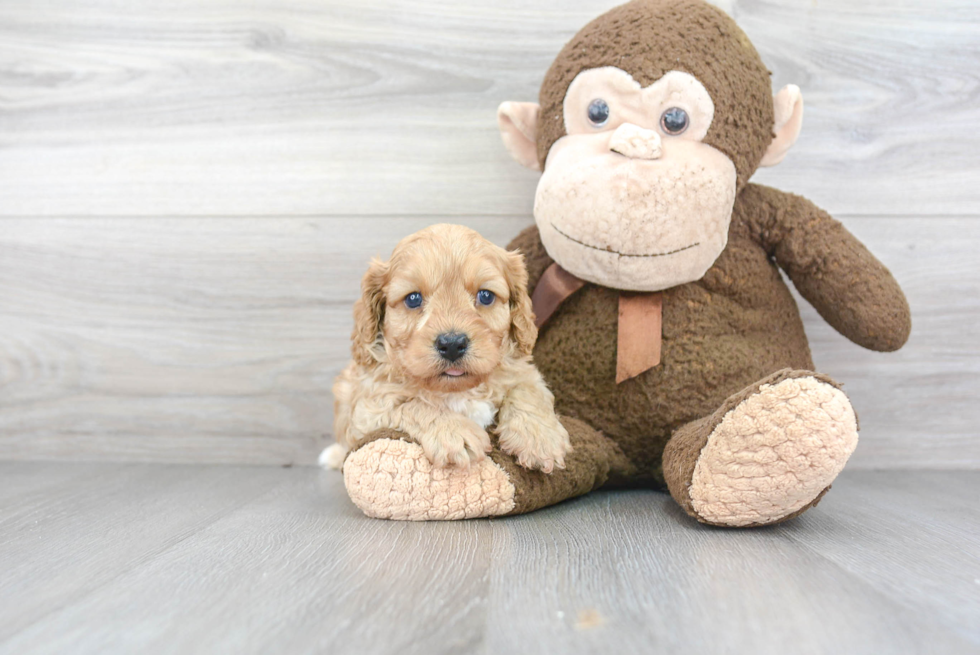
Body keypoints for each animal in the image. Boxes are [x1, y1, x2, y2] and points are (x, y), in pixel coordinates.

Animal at [322, 223, 572, 474]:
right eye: (413, 299)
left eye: (486, 295)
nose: (452, 344)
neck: (458, 390)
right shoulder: (366, 410)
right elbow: (413, 404)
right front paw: (453, 431)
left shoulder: (523, 370)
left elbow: (528, 390)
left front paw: (539, 437)